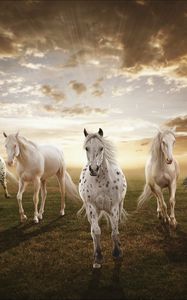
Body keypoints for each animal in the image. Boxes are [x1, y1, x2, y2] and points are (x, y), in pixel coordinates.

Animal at [78, 127, 128, 268]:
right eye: (87, 148)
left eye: (101, 148)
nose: (94, 169)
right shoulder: (92, 207)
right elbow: (96, 231)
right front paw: (98, 257)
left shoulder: (114, 207)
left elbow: (114, 231)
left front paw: (117, 252)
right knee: (92, 231)